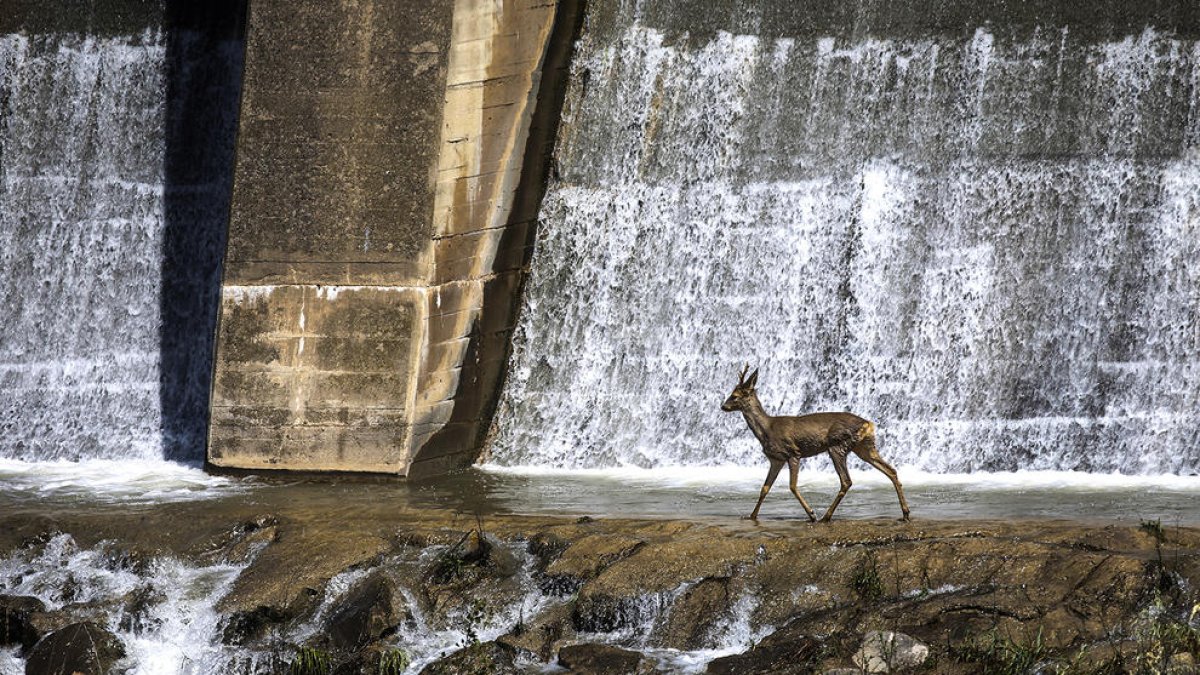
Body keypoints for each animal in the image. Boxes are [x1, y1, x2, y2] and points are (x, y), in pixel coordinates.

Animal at [720, 367, 907, 521]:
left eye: (734, 396)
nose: (723, 406)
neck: (767, 429)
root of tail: (868, 423)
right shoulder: (776, 459)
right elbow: (764, 488)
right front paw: (751, 516)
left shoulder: (793, 453)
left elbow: (792, 486)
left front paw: (811, 514)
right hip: (864, 447)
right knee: (891, 470)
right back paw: (905, 513)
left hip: (838, 445)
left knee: (846, 481)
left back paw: (825, 516)